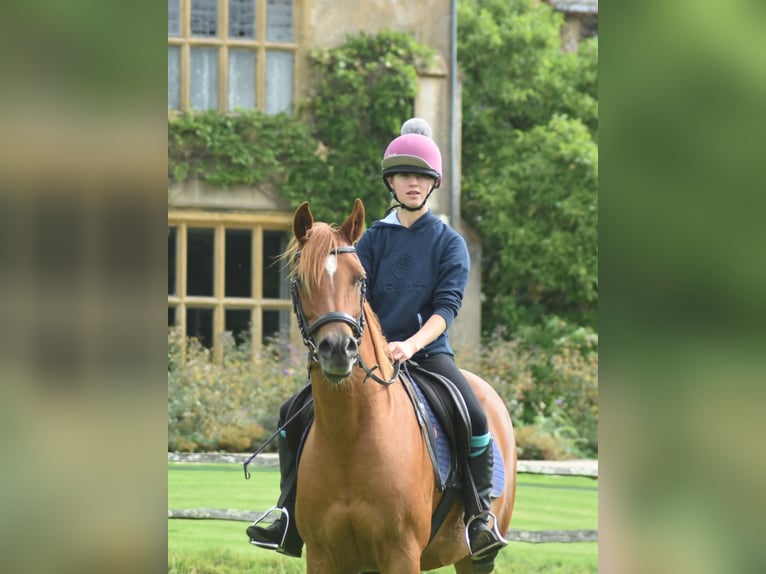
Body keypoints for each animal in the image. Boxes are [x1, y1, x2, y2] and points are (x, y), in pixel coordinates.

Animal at [286, 198, 516, 574]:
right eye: (301, 280)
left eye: (359, 278)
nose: (338, 349)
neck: (349, 438)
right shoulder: (323, 556)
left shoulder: (402, 554)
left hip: (474, 557)